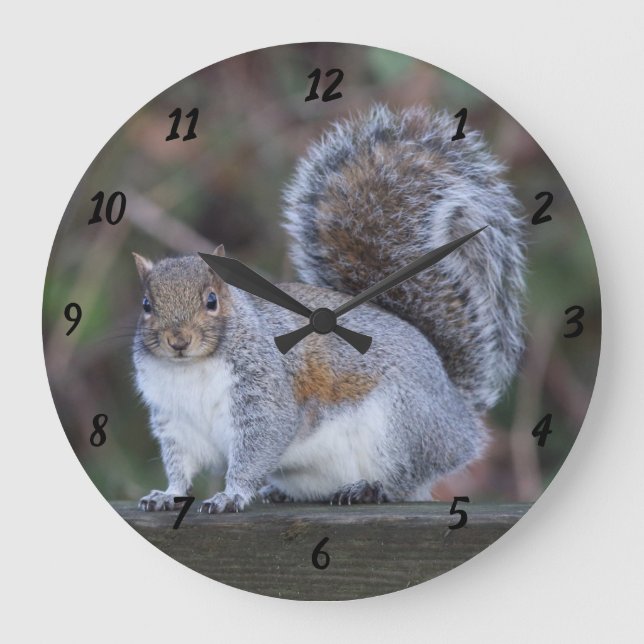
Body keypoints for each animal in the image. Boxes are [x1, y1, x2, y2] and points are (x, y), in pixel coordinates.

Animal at [133, 104, 525, 513]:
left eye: (212, 301)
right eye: (146, 304)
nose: (178, 341)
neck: (190, 370)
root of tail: (457, 417)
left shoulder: (265, 397)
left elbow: (256, 449)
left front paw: (231, 495)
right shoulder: (174, 420)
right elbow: (180, 465)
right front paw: (167, 494)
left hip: (400, 428)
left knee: (404, 483)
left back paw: (368, 489)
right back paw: (280, 493)